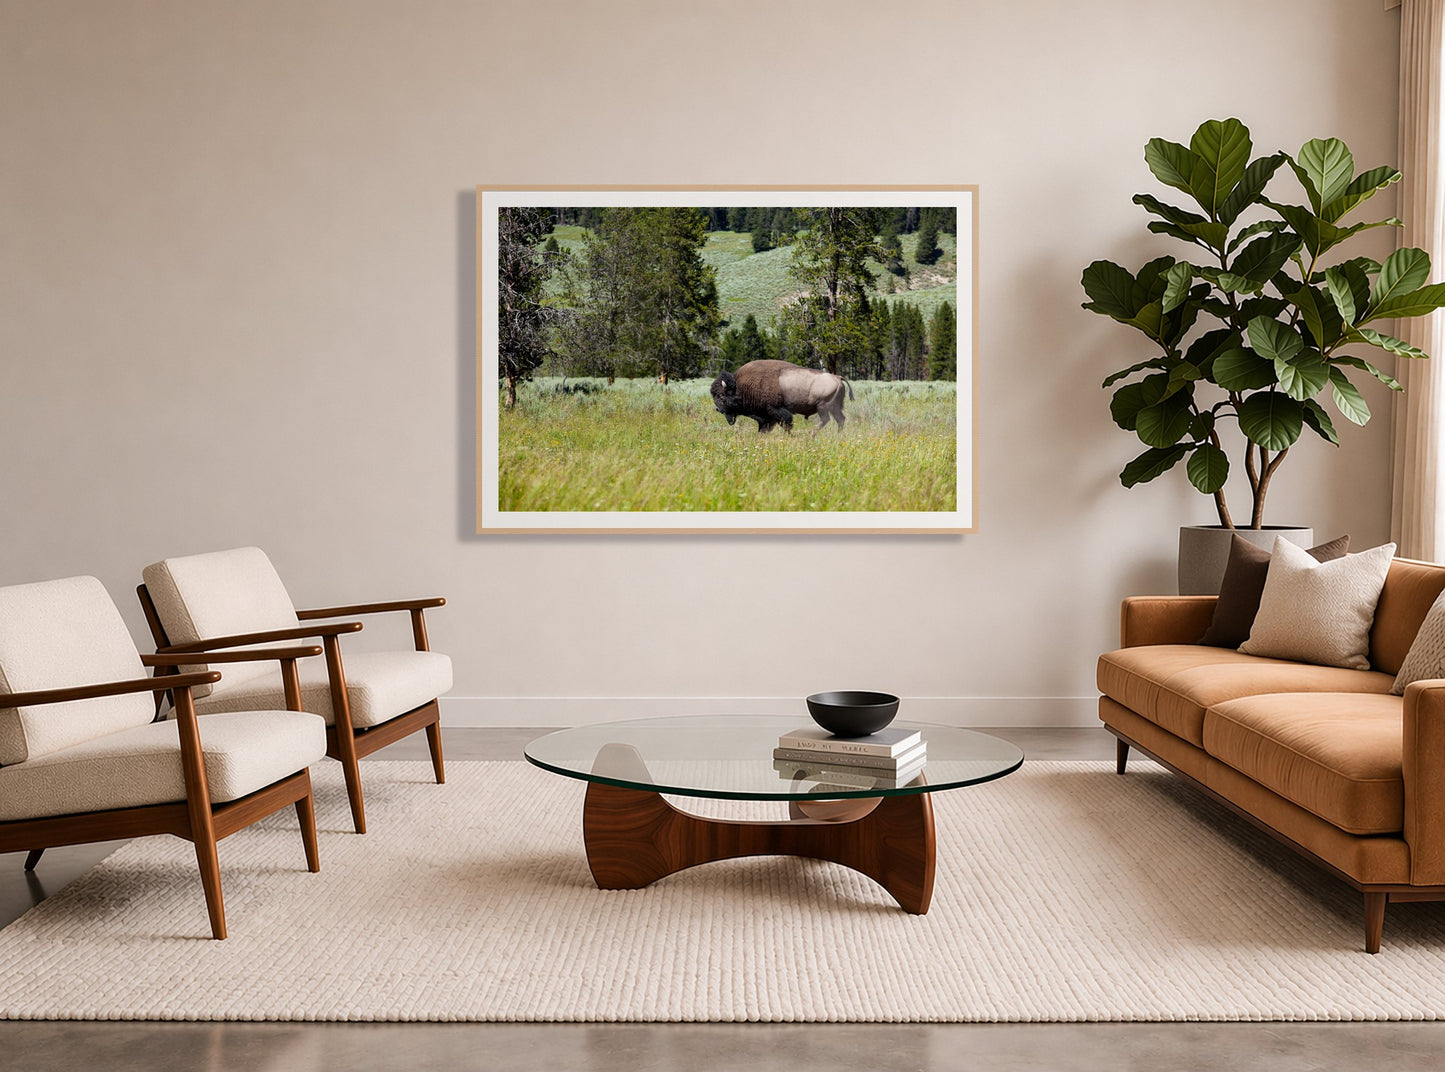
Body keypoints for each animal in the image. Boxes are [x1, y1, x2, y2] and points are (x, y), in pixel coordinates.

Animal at [709, 359, 854, 433]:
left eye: (721, 396)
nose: (718, 409)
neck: (740, 386)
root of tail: (837, 377)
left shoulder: (775, 411)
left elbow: (786, 423)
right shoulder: (767, 417)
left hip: (823, 407)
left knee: (826, 420)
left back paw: (811, 434)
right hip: (834, 408)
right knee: (840, 420)